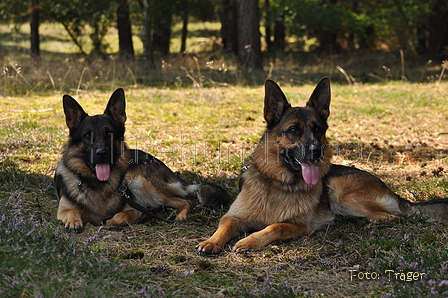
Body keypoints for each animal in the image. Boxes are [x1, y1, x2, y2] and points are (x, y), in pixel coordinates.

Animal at [55, 88, 229, 233]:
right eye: (87, 135)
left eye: (109, 133)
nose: (101, 153)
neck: (98, 184)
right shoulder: (63, 209)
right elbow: (71, 211)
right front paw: (74, 221)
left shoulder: (133, 209)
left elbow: (123, 215)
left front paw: (111, 222)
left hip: (143, 185)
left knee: (185, 202)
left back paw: (180, 216)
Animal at [198, 77, 448, 254]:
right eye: (293, 130)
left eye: (317, 129)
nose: (316, 151)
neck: (279, 184)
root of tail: (391, 191)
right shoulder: (235, 216)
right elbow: (225, 225)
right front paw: (210, 242)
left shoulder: (297, 225)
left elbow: (274, 226)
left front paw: (249, 241)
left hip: (341, 193)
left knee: (393, 217)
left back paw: (369, 225)